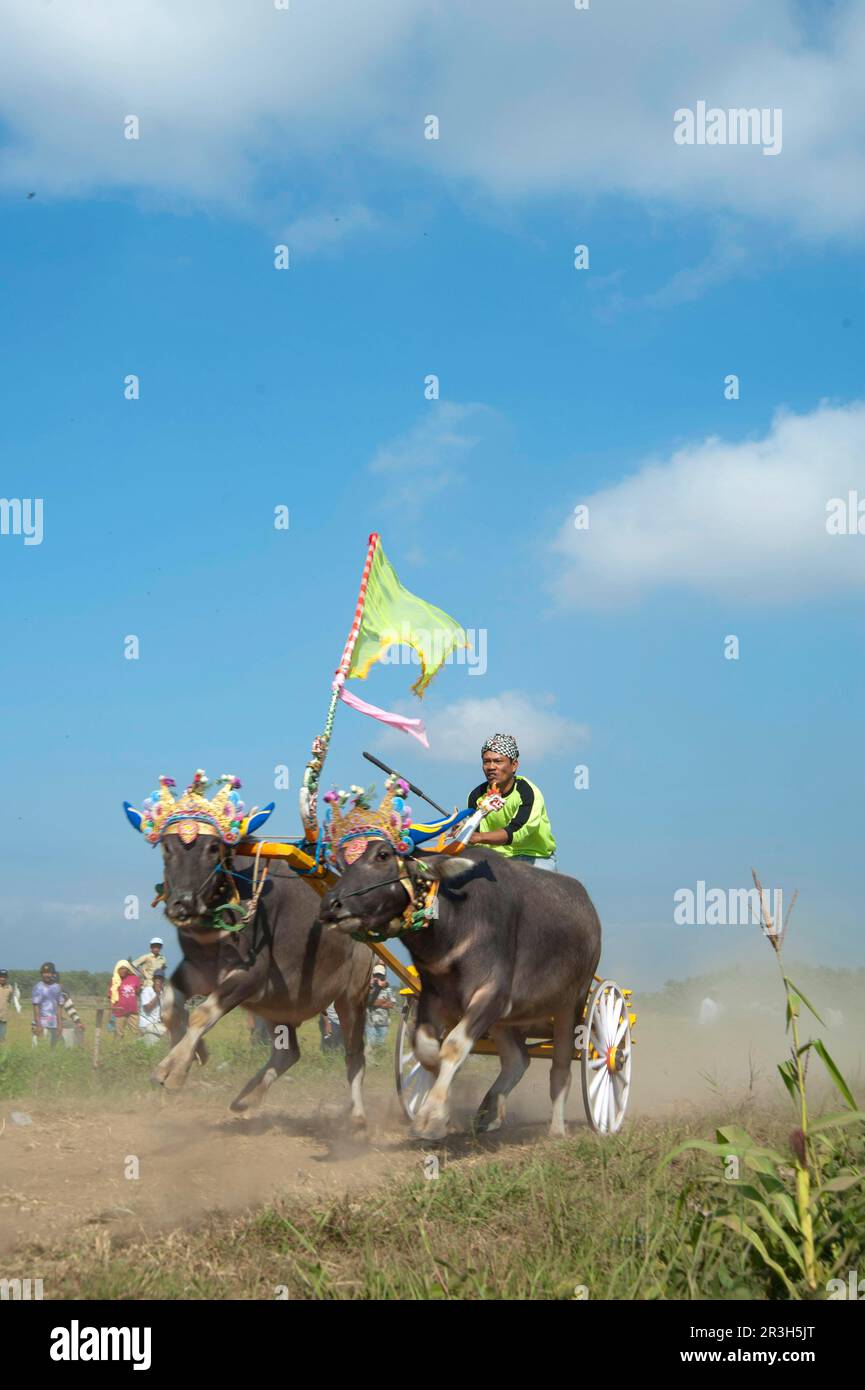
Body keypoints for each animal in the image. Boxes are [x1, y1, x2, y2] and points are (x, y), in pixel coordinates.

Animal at [150, 828, 375, 1123]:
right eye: (167, 847)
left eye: (213, 847)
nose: (182, 904)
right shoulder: (196, 971)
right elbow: (169, 1008)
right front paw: (196, 1053)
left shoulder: (250, 976)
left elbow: (201, 1014)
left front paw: (173, 1071)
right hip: (278, 1004)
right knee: (288, 1053)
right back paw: (247, 1097)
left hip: (352, 996)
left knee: (354, 1053)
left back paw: (358, 1116)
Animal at [318, 839, 603, 1134]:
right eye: (346, 862)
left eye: (383, 855)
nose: (330, 904)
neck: (454, 922)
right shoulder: (432, 995)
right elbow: (426, 1049)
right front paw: (440, 1096)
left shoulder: (492, 995)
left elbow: (453, 1046)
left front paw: (431, 1115)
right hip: (504, 1022)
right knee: (517, 1059)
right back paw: (489, 1112)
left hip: (571, 1004)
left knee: (561, 1068)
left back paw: (557, 1128)